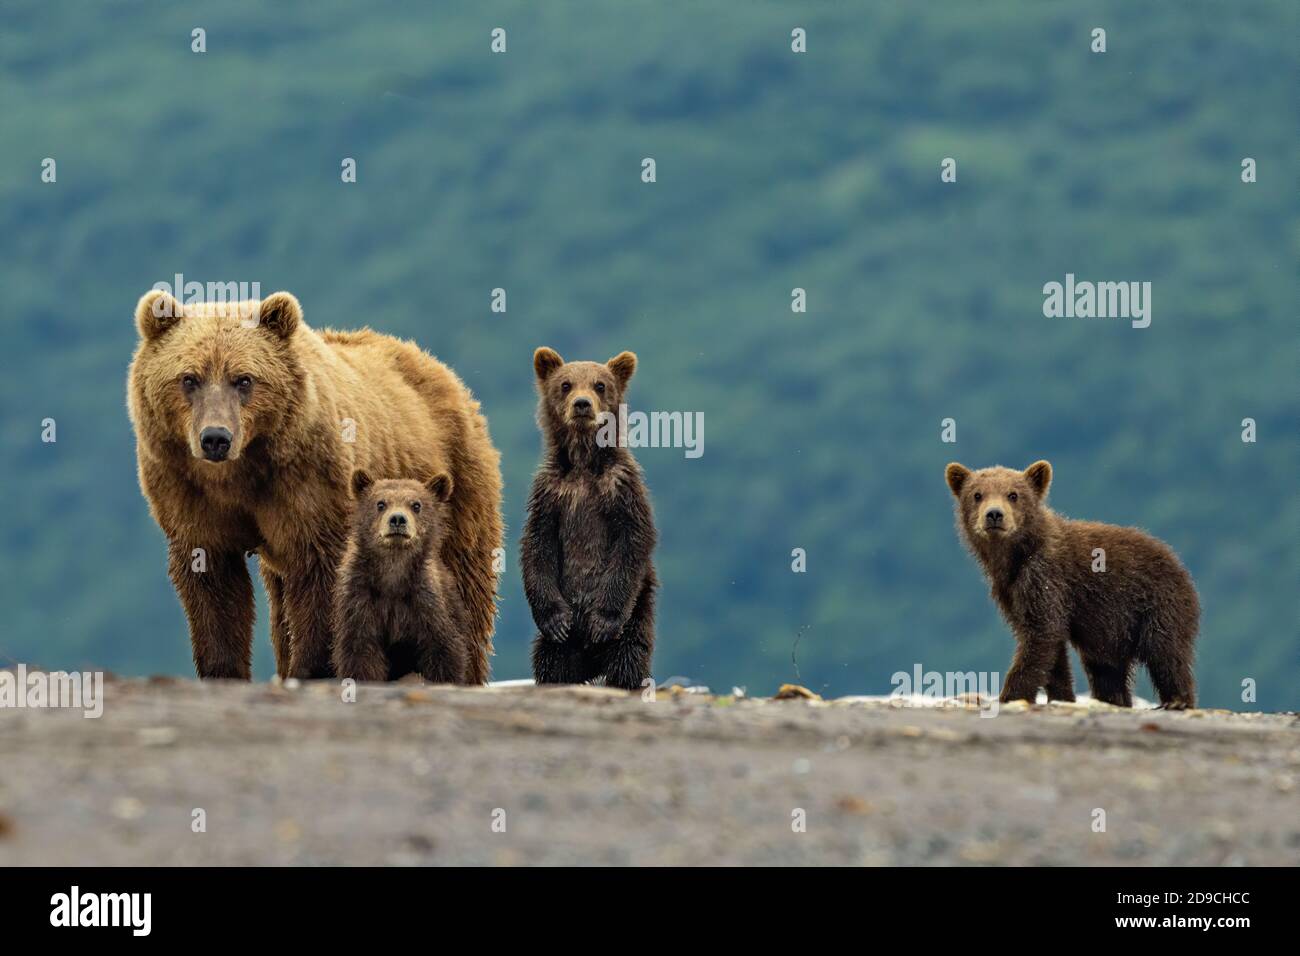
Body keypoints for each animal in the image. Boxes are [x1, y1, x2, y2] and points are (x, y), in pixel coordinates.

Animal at [128, 290, 501, 681]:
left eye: (244, 379)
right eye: (189, 378)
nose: (216, 438)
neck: (241, 473)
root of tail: (439, 369)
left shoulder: (310, 485)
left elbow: (320, 576)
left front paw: (314, 667)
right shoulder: (187, 489)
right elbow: (212, 581)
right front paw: (223, 669)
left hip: (455, 489)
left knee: (464, 586)